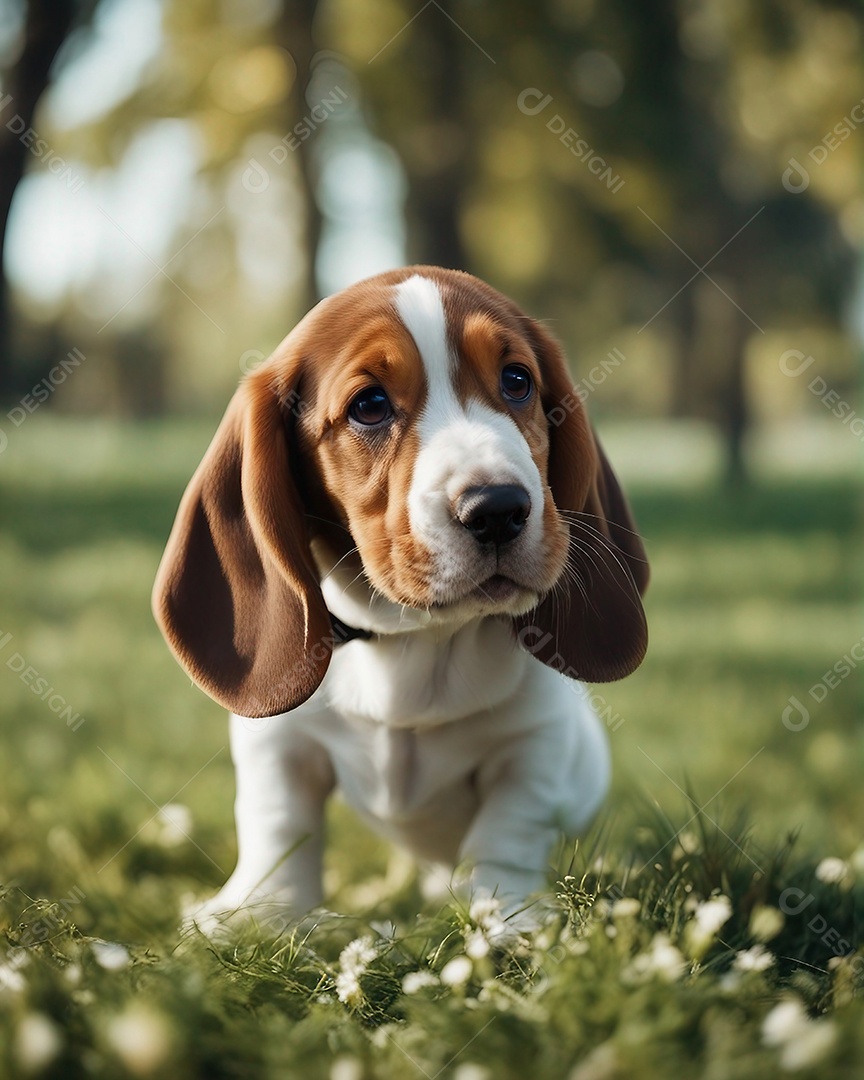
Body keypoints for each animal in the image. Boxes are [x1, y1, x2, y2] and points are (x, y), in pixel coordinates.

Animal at [152, 265, 643, 933]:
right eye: (370, 405)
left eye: (517, 381)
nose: (498, 508)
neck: (418, 639)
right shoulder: (278, 744)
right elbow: (277, 824)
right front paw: (259, 913)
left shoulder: (534, 744)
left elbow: (508, 832)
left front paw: (508, 918)